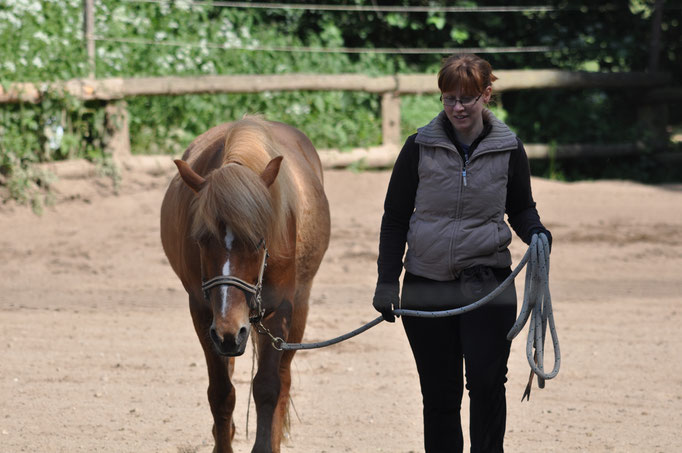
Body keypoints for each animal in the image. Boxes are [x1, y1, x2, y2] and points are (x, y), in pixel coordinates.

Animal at [159, 117, 330, 452]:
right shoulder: (204, 315)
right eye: (201, 239)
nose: (229, 331)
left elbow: (267, 387)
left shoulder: (280, 310)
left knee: (284, 378)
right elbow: (221, 393)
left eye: (259, 240)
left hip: (298, 308)